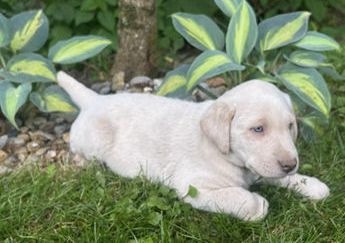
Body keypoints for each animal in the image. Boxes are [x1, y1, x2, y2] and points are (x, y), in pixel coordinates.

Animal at [55, 71, 328, 221]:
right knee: (80, 152)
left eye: (290, 126)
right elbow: (237, 196)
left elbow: (281, 178)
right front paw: (258, 204)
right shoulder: (195, 187)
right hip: (92, 141)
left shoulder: (259, 168)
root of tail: (94, 100)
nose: (290, 164)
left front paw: (312, 185)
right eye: (258, 129)